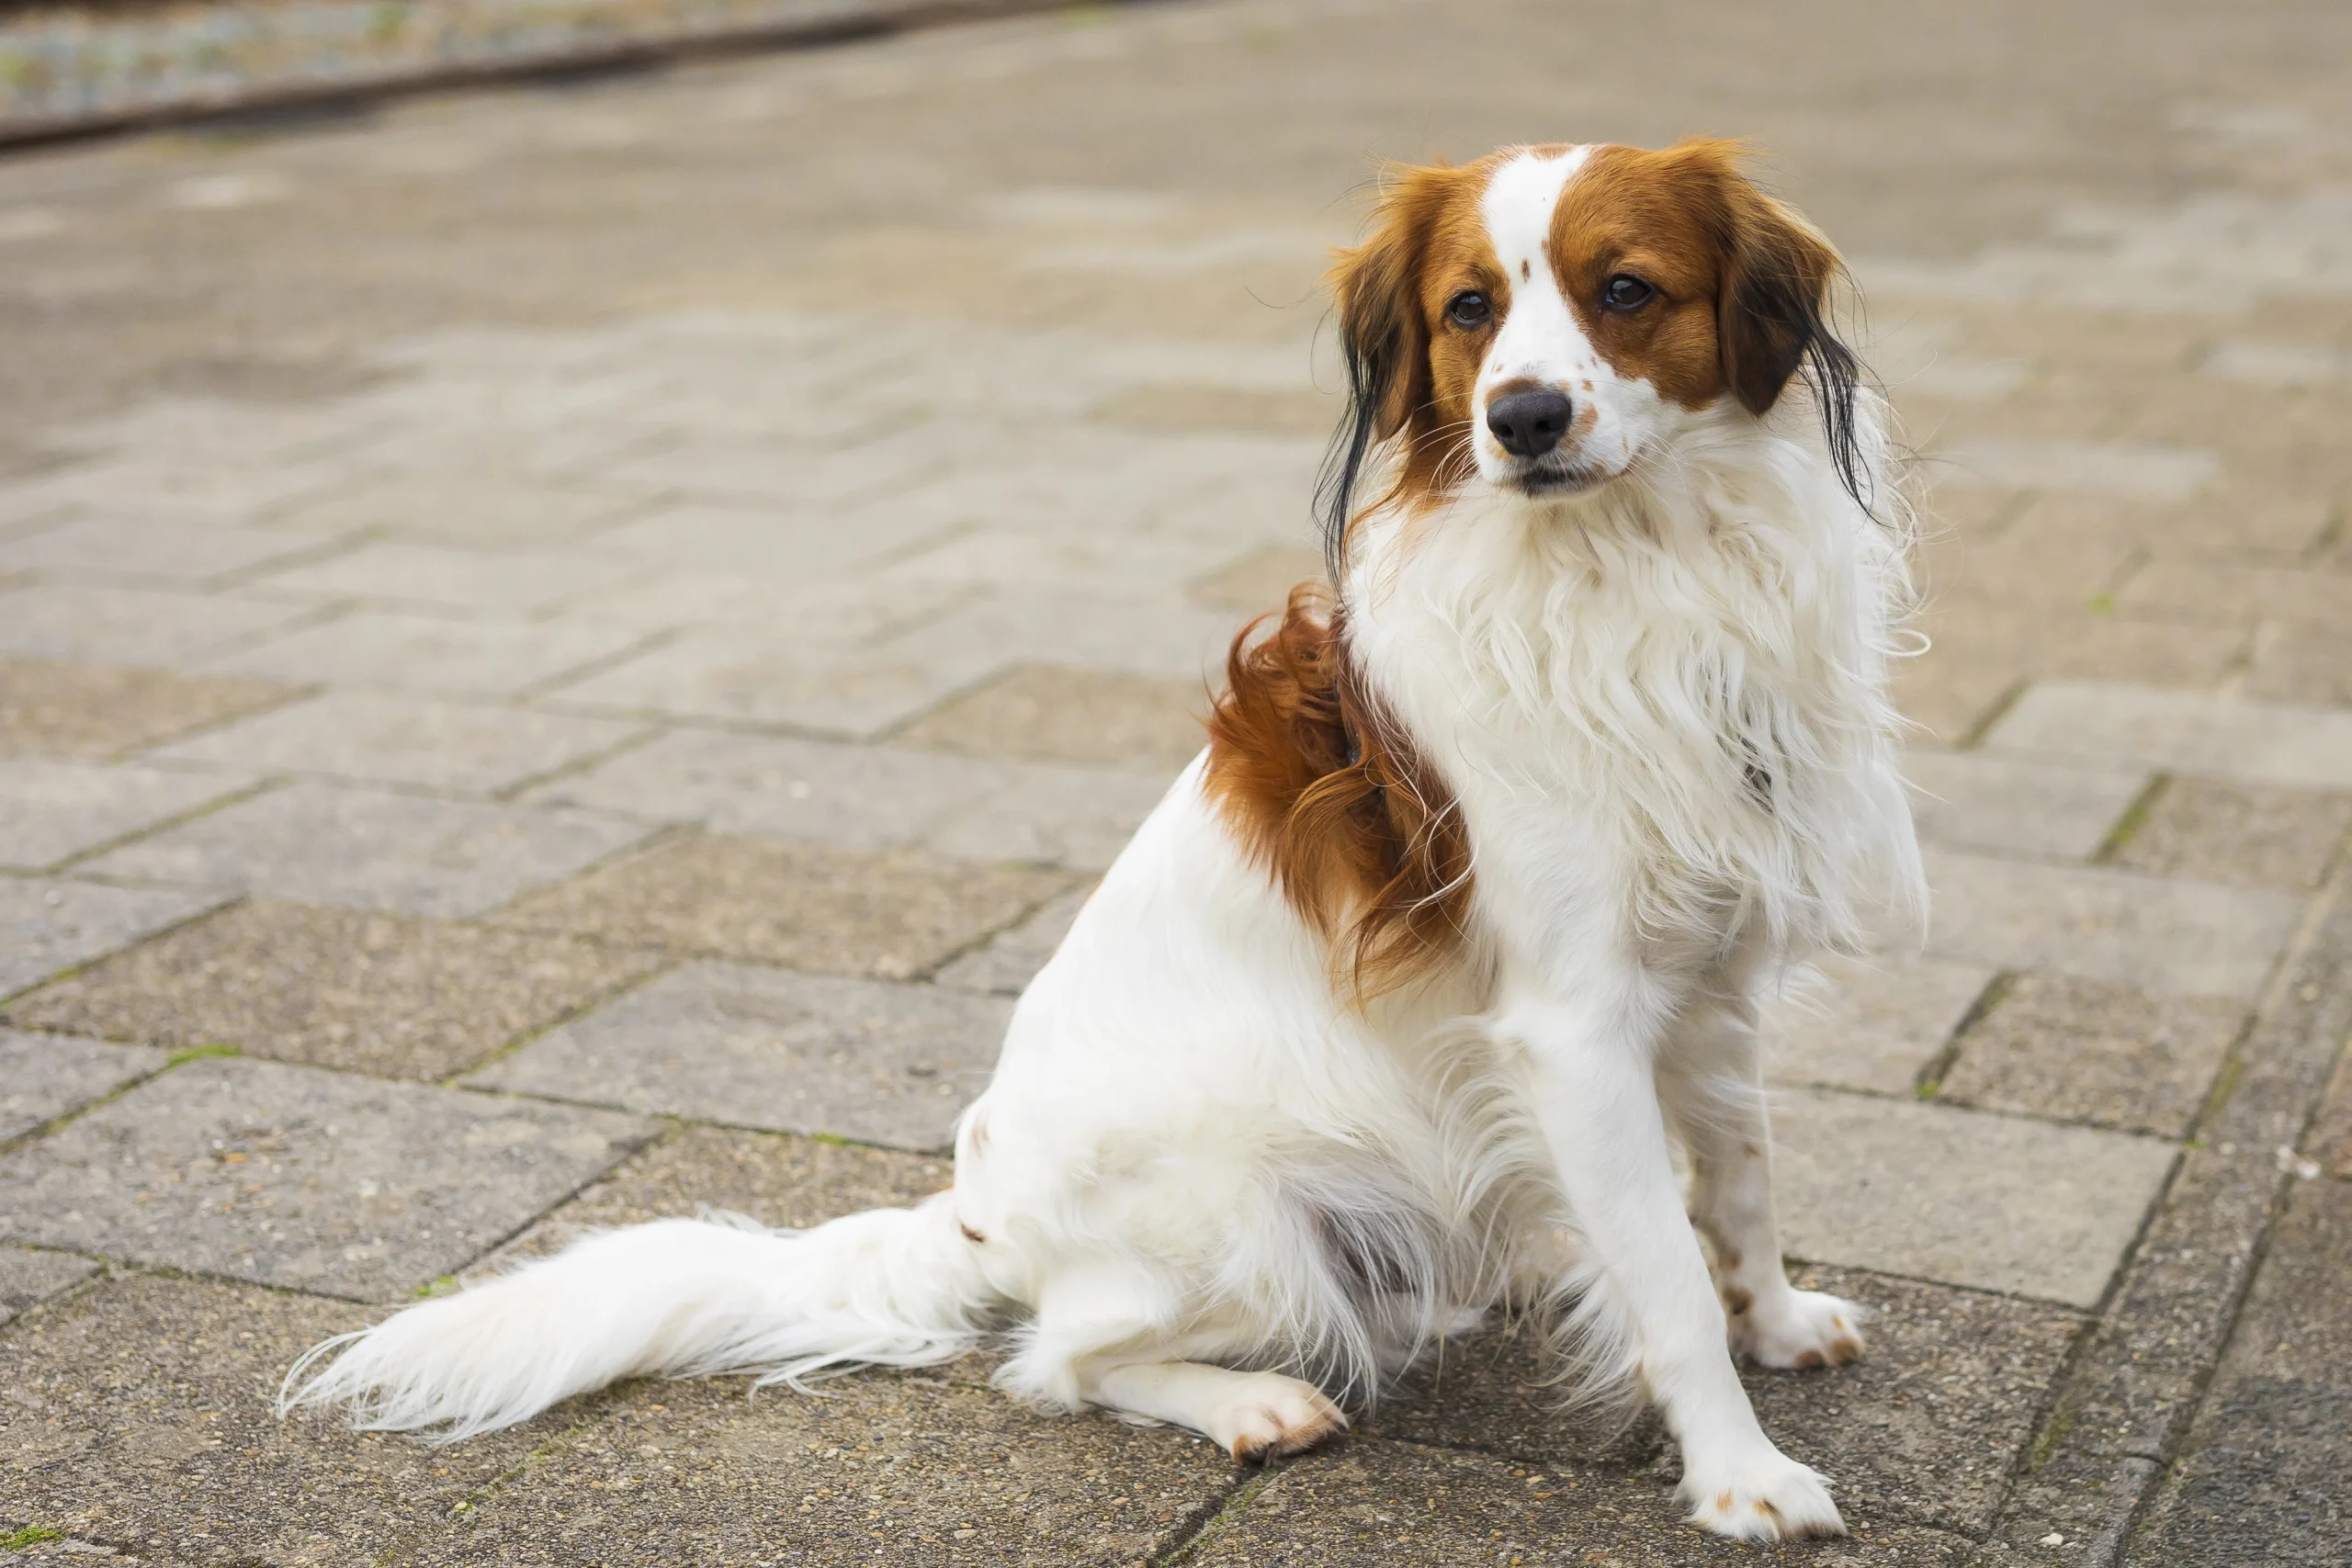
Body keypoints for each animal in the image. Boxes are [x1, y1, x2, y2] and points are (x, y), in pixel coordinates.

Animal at [279, 138, 1928, 1541]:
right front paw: (1742, 1474)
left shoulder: (1714, 971)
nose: (1520, 419)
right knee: (1060, 1360)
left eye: (1626, 289)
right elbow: (1662, 1271)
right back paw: (1254, 1399)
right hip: (1248, 1221)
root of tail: (978, 1217)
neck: (1640, 570)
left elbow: (1740, 1177)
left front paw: (1778, 1322)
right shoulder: (1574, 1027)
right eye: (1470, 309)